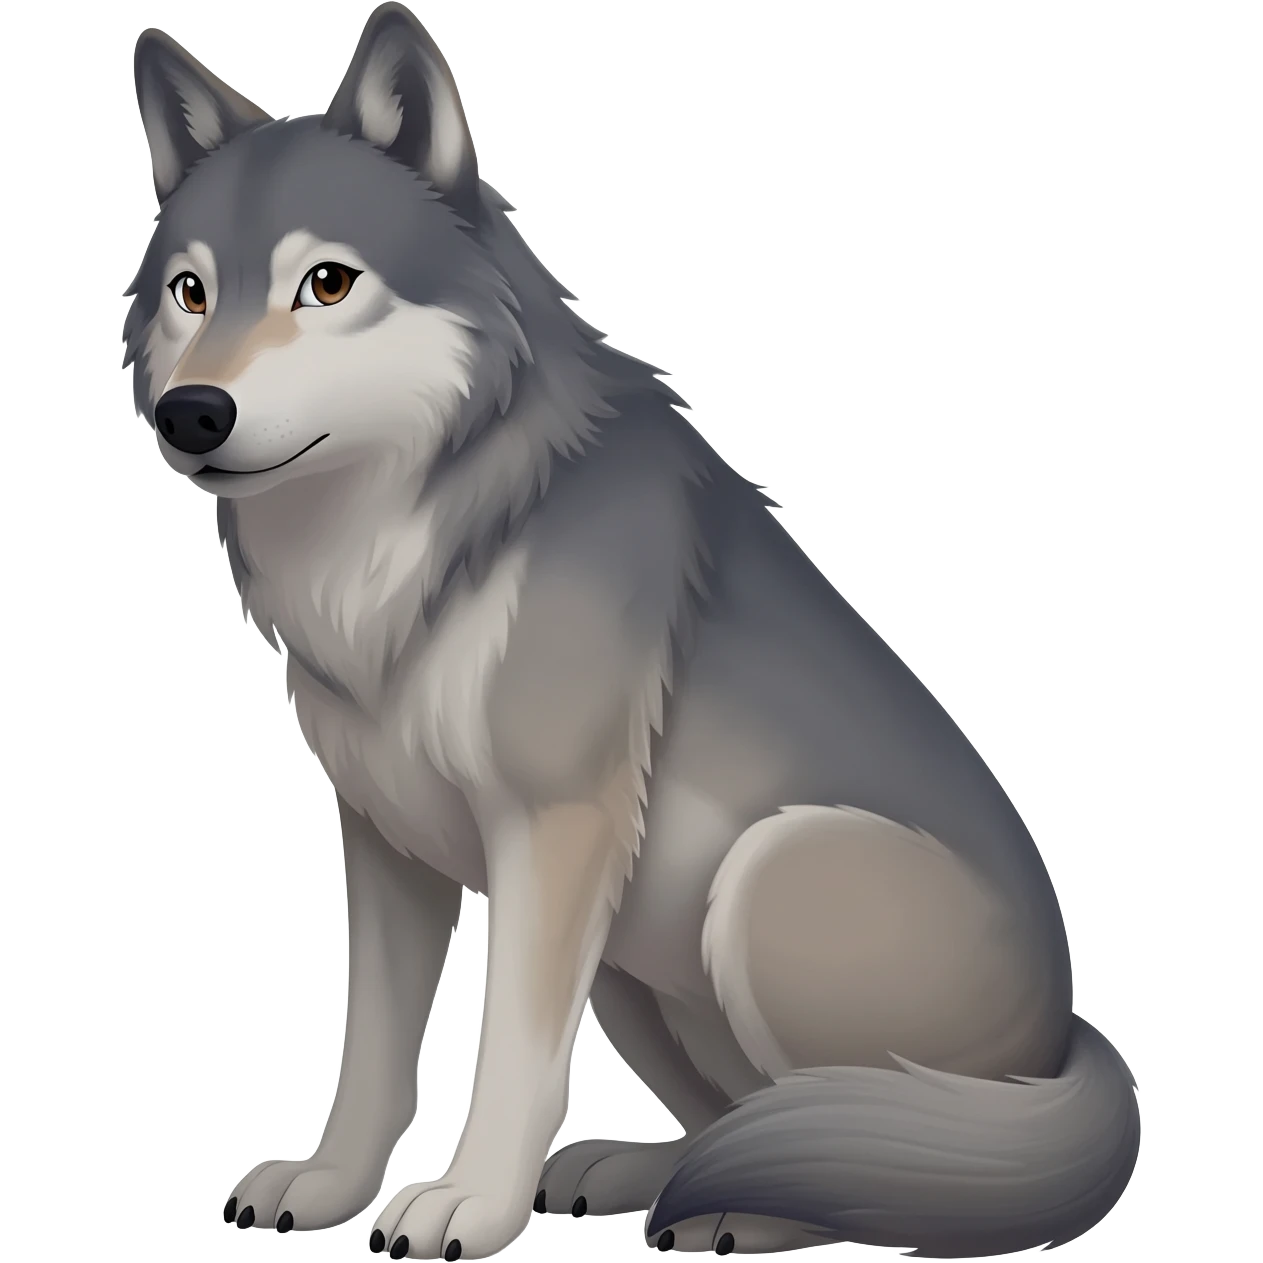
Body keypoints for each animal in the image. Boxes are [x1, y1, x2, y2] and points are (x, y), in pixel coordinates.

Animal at [124, 5, 1142, 1260]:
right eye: (190, 291)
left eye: (326, 283)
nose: (192, 413)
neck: (399, 550)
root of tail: (1070, 1043)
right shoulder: (387, 840)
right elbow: (372, 1050)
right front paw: (328, 1186)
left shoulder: (555, 827)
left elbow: (513, 1051)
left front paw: (470, 1204)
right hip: (631, 964)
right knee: (760, 1119)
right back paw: (639, 1170)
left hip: (760, 879)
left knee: (872, 1155)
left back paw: (744, 1209)